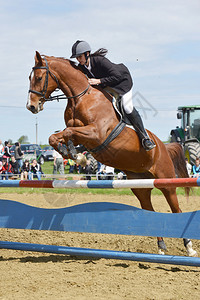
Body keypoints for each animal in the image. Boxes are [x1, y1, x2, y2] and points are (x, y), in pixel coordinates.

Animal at [26, 51, 197, 255]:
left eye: (38, 77)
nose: (31, 106)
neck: (80, 97)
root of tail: (164, 146)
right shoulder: (80, 134)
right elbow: (57, 137)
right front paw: (77, 156)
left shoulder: (96, 132)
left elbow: (67, 132)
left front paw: (78, 157)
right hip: (139, 184)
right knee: (149, 209)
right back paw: (161, 247)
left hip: (165, 179)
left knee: (176, 208)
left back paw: (189, 248)